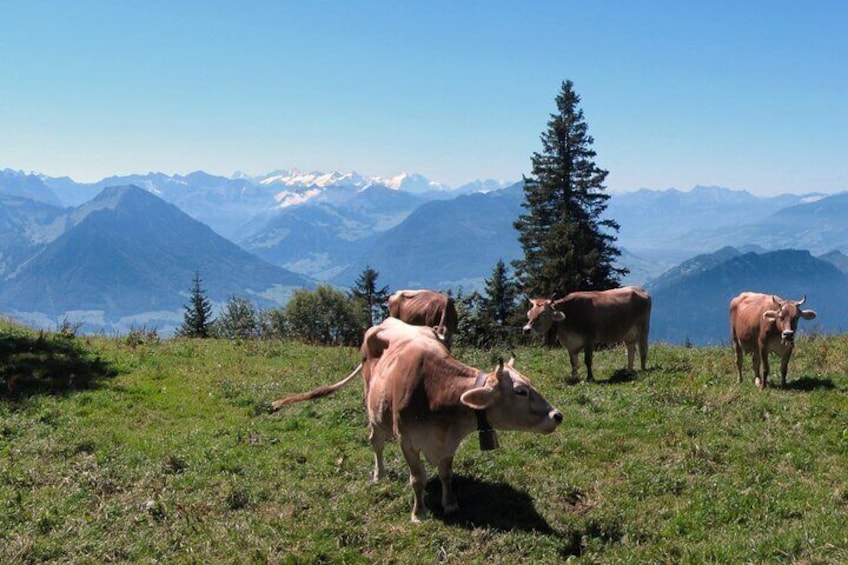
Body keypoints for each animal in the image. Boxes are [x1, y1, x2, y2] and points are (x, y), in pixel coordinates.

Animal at [272, 318, 564, 520]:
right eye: (521, 391)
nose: (557, 415)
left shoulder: (449, 443)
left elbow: (446, 474)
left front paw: (450, 504)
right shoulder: (406, 441)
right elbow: (418, 478)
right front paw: (419, 512)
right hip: (373, 410)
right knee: (375, 442)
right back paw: (379, 474)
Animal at [520, 284, 652, 382]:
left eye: (543, 314)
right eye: (530, 313)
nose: (526, 329)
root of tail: (639, 289)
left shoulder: (589, 339)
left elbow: (587, 360)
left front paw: (590, 378)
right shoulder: (570, 344)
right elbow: (573, 362)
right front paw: (574, 377)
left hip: (643, 328)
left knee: (643, 349)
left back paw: (643, 370)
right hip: (628, 333)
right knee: (631, 350)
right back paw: (629, 371)